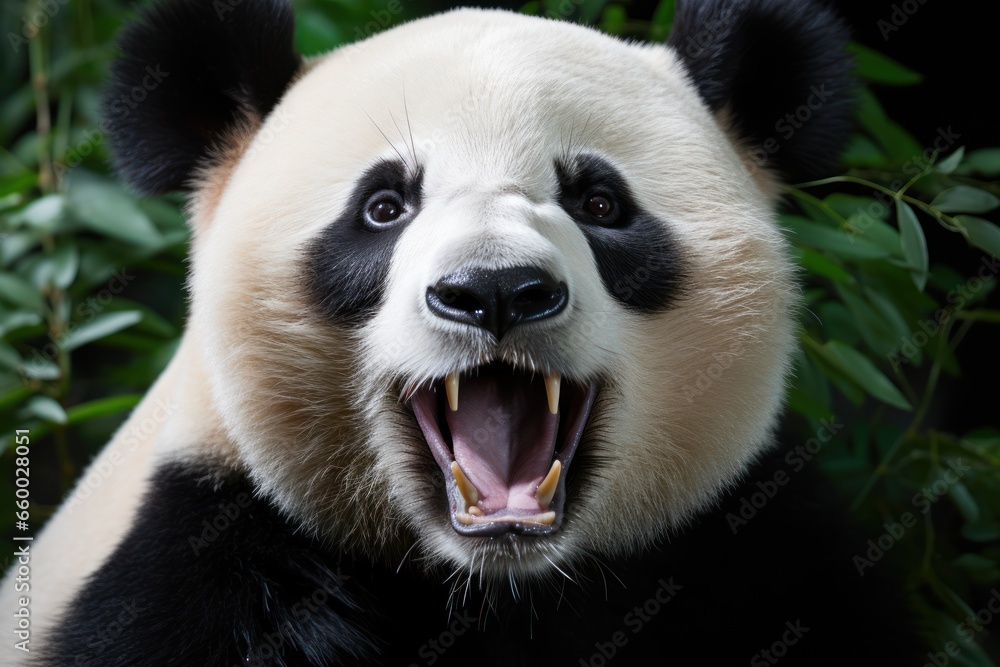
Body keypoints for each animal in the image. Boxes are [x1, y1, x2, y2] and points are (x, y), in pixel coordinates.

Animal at [0, 0, 923, 664]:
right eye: (384, 206)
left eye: (600, 202)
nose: (496, 290)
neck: (496, 583)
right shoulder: (206, 561)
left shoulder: (752, 551)